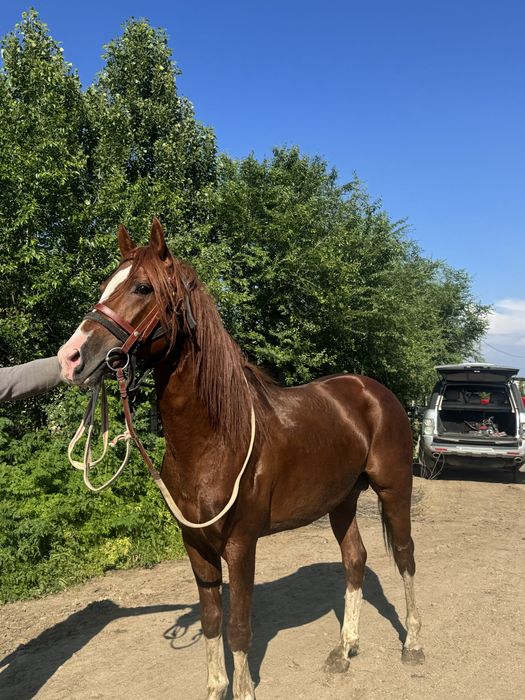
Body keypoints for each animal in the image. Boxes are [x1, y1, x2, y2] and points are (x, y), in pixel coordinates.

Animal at [58, 219, 424, 699]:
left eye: (142, 287)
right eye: (105, 286)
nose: (71, 358)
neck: (215, 440)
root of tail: (375, 392)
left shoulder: (241, 545)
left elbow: (239, 628)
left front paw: (243, 689)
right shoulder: (196, 546)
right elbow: (213, 622)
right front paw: (216, 688)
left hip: (394, 488)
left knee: (404, 555)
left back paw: (413, 644)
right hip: (341, 500)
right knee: (355, 560)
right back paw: (345, 650)